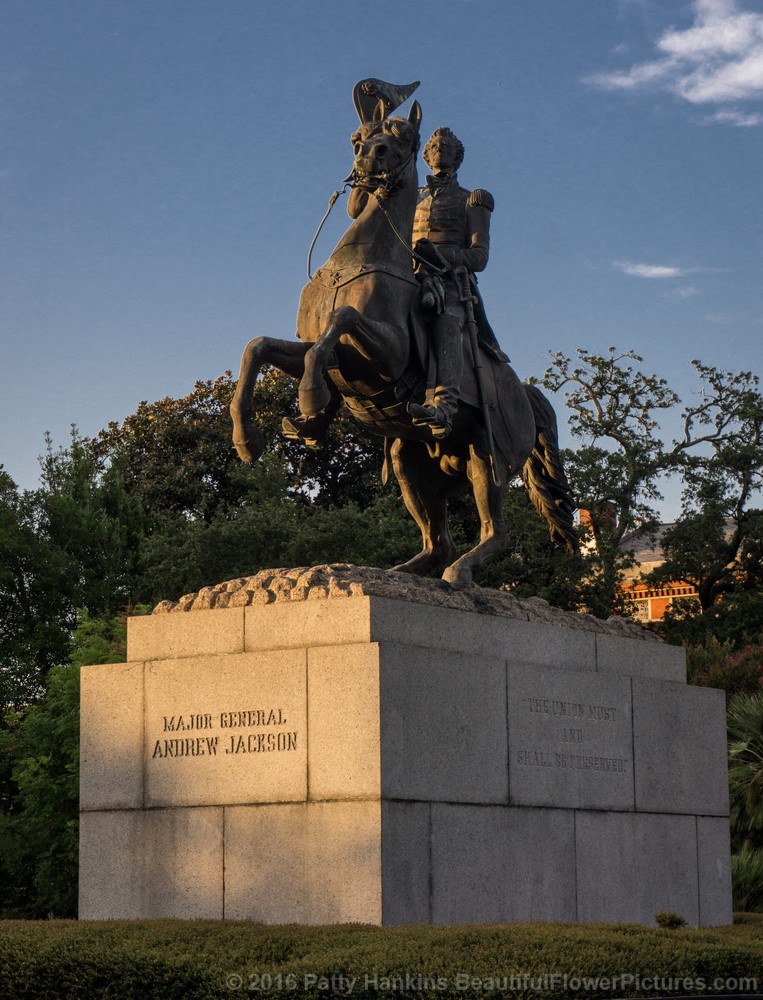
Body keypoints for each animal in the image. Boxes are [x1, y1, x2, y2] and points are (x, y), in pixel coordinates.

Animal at [230, 96, 576, 584]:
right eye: (358, 137)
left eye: (405, 137)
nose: (367, 157)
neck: (362, 257)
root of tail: (525, 394)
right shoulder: (325, 353)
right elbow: (257, 346)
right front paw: (250, 437)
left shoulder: (386, 353)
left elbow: (342, 317)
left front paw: (312, 398)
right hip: (411, 461)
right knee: (438, 539)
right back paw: (401, 572)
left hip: (487, 458)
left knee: (496, 533)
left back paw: (458, 574)